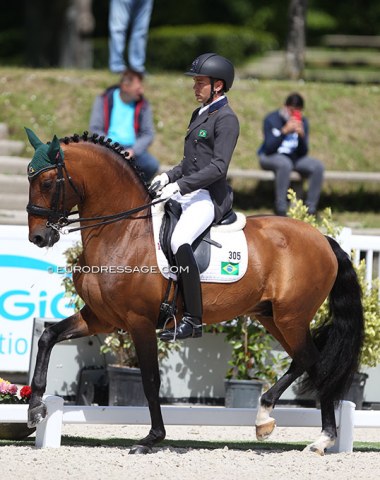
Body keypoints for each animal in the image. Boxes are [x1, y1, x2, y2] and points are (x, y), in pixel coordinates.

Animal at [25, 129, 364, 456]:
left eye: (47, 181)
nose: (38, 237)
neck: (122, 232)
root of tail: (323, 239)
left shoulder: (139, 321)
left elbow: (150, 380)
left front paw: (151, 439)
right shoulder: (101, 318)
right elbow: (47, 337)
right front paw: (35, 408)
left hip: (291, 316)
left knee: (311, 360)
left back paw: (283, 424)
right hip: (273, 317)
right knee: (313, 364)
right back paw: (305, 433)